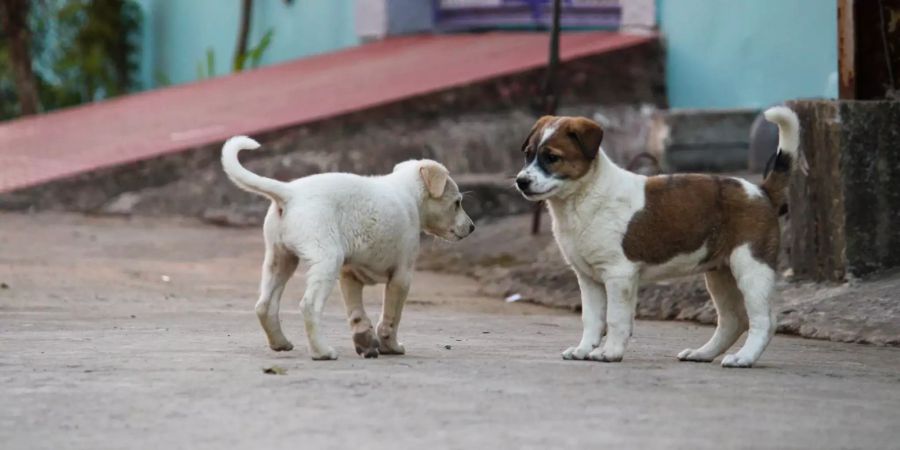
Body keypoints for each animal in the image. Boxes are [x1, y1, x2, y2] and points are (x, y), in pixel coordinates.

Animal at [221, 135, 474, 360]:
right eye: (457, 203)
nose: (472, 227)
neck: (408, 193)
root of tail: (291, 193)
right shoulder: (402, 277)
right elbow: (391, 317)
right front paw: (390, 346)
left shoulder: (349, 274)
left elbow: (356, 313)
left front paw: (365, 340)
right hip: (326, 259)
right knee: (309, 306)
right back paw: (322, 352)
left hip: (280, 259)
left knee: (264, 305)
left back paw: (280, 343)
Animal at [512, 106, 800, 370]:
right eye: (528, 155)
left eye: (552, 157)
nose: (520, 181)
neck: (582, 197)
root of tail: (761, 191)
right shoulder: (588, 278)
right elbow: (592, 319)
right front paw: (584, 349)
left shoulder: (618, 274)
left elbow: (615, 318)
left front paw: (609, 352)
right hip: (720, 273)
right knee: (733, 320)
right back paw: (702, 353)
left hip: (751, 267)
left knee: (764, 320)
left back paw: (744, 358)